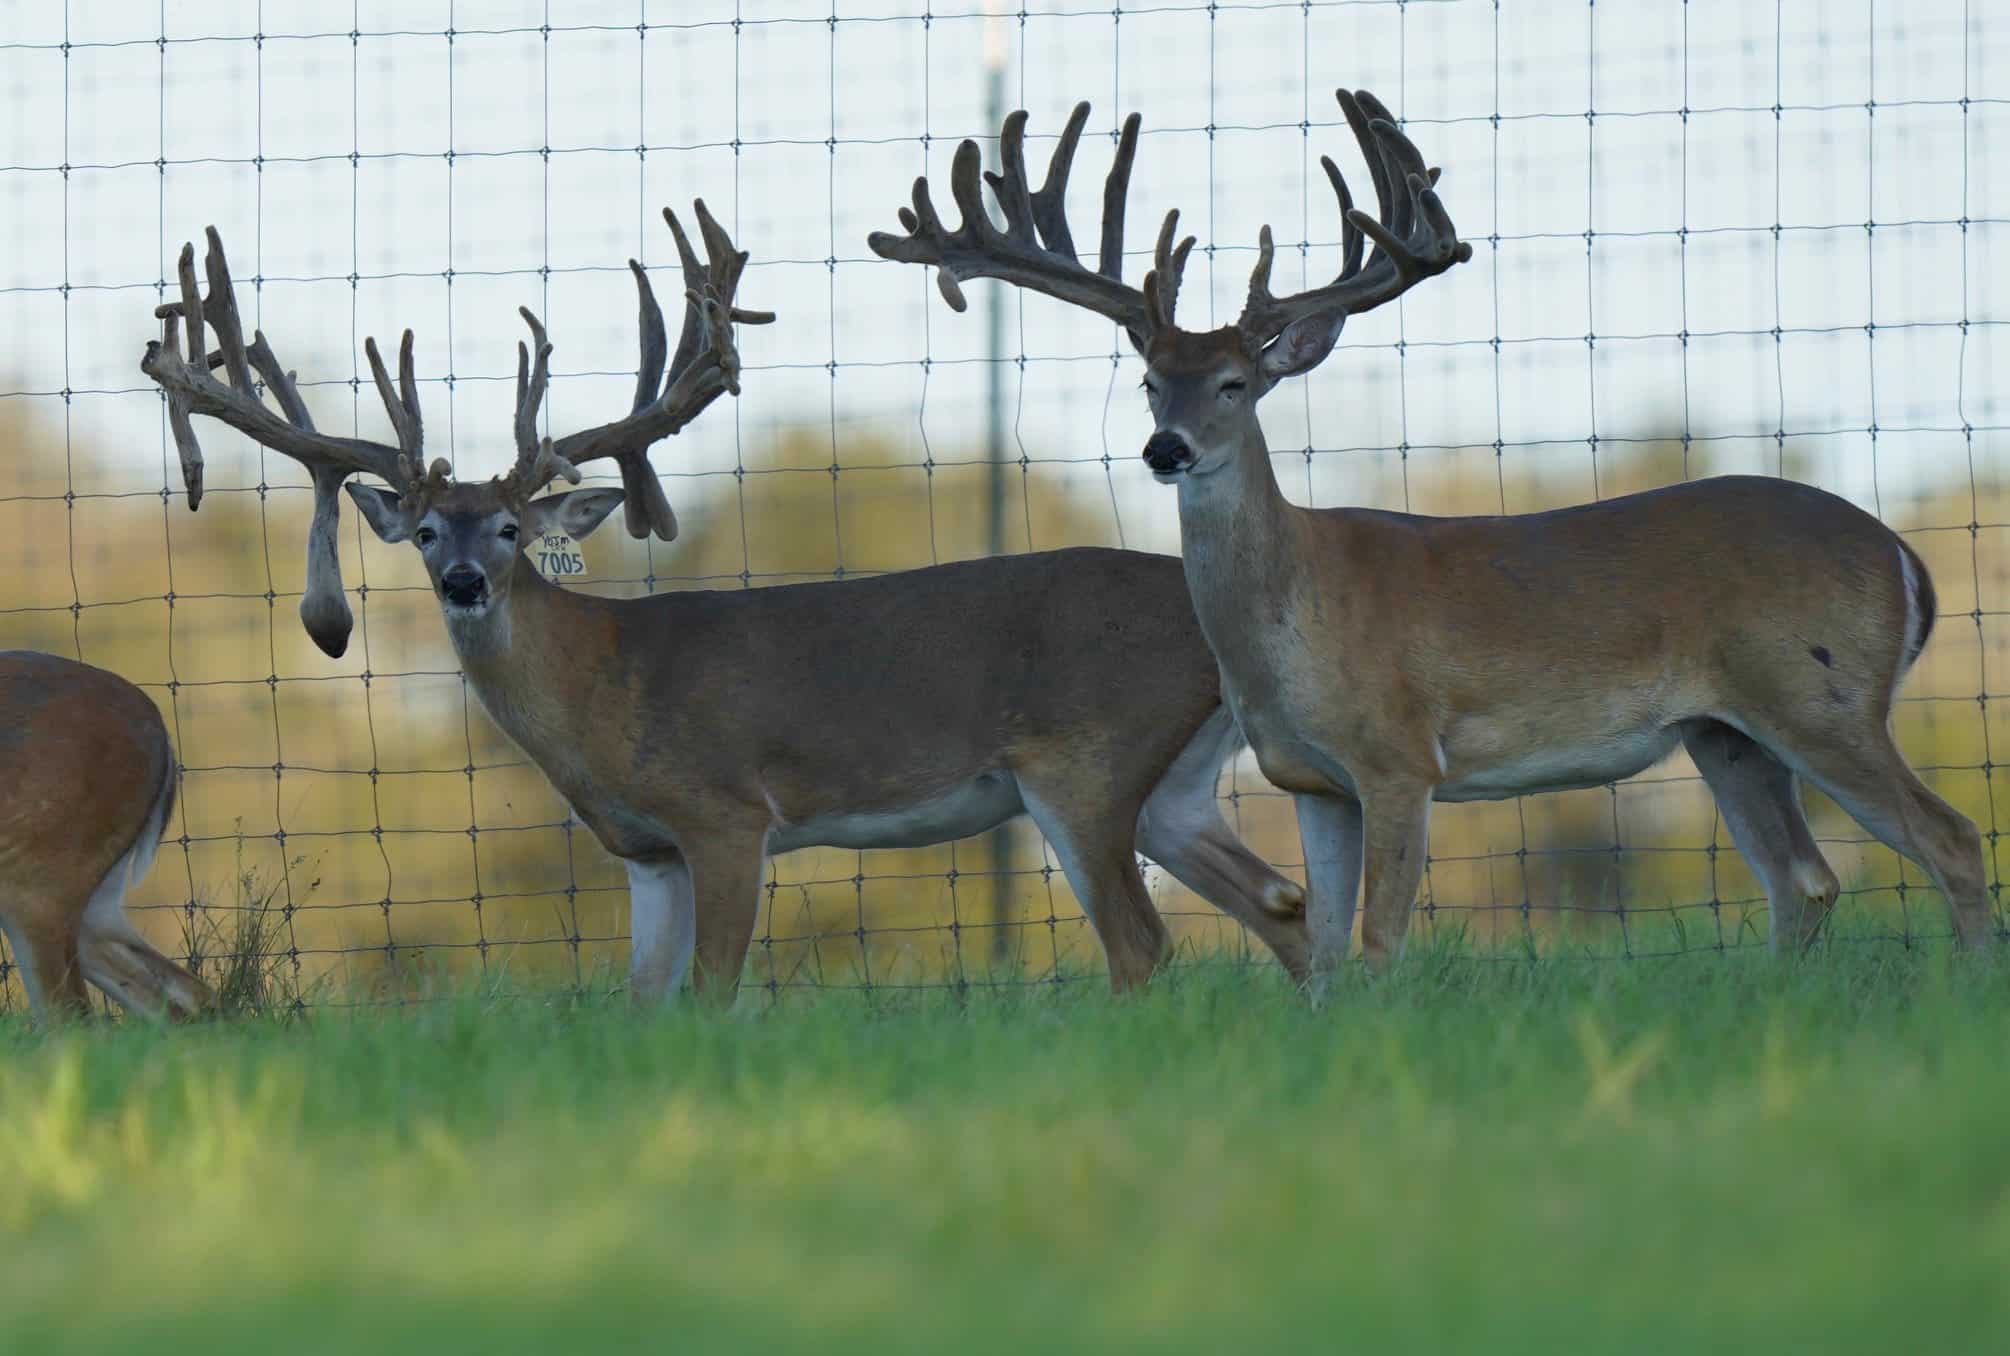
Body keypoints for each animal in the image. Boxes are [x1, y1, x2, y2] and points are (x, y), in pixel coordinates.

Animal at [139, 205, 1312, 1005]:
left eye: (513, 529)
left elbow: (711, 993)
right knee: (1282, 904)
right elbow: (642, 1004)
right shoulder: (648, 854)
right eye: (427, 532)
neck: (602, 686)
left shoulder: (727, 813)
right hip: (1176, 784)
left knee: (1144, 944)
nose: (465, 581)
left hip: (1085, 764)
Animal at [870, 87, 1996, 984]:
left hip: (1819, 693)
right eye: (1152, 381)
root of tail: (1903, 557)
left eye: (1234, 383)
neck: (1295, 622)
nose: (1165, 448)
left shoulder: (1400, 755)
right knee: (1802, 880)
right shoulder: (1311, 780)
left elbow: (1379, 943)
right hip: (1726, 732)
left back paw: (1967, 985)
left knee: (1950, 837)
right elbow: (1325, 950)